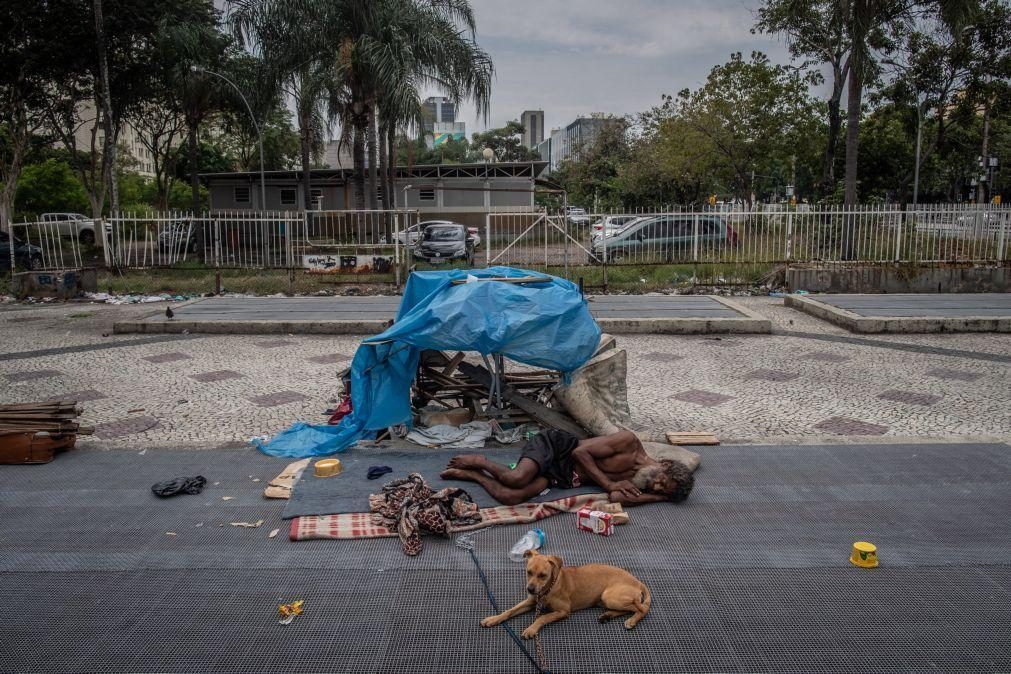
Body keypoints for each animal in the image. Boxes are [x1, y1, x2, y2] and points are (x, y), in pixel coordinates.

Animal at [479, 549, 651, 638]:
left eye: (543, 575)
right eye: (528, 572)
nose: (530, 589)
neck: (548, 589)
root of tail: (638, 581)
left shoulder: (563, 611)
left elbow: (542, 617)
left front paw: (531, 629)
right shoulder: (531, 602)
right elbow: (509, 611)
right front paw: (493, 619)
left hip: (610, 596)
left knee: (641, 608)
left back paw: (632, 621)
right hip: (606, 599)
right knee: (629, 608)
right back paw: (607, 615)